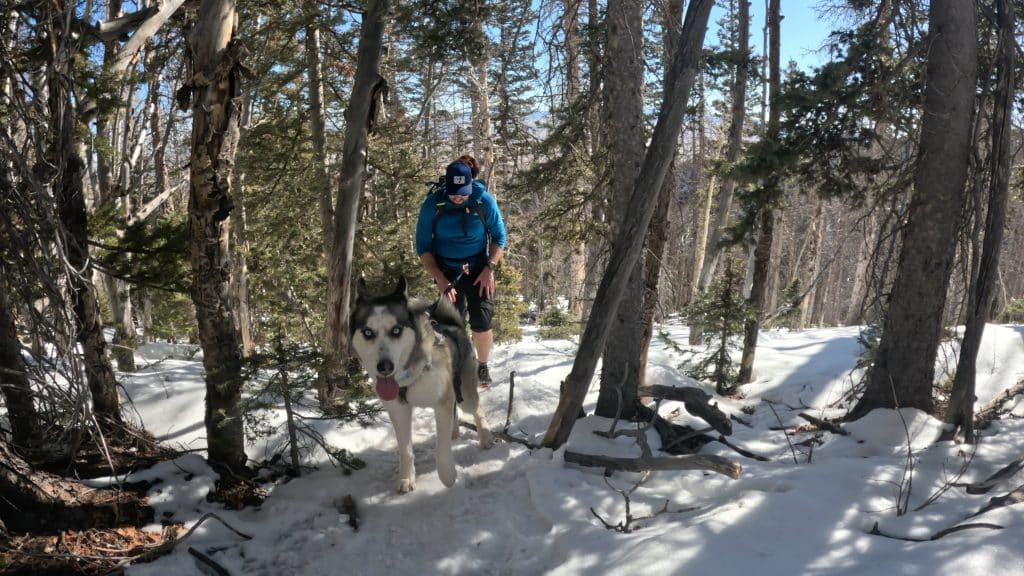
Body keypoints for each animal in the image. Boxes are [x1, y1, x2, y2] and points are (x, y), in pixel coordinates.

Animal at [352, 272, 495, 487]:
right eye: (368, 332)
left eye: (396, 330)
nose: (384, 367)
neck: (409, 375)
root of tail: (453, 325)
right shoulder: (399, 410)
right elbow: (405, 450)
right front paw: (406, 477)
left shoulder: (441, 401)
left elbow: (441, 447)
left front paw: (447, 475)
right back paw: (454, 431)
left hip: (465, 394)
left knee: (476, 410)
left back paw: (485, 437)